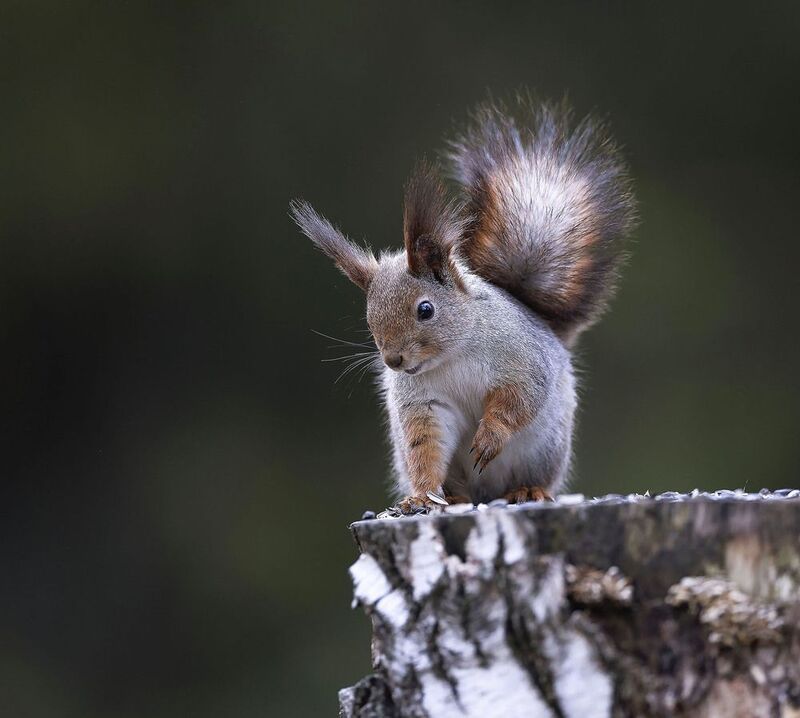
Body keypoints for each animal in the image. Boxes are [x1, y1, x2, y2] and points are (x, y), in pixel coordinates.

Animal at [290, 96, 636, 512]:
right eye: (369, 319)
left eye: (425, 309)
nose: (393, 361)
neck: (452, 356)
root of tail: (487, 493)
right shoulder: (424, 402)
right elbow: (425, 446)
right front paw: (421, 495)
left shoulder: (521, 359)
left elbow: (517, 399)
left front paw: (490, 436)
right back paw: (452, 497)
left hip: (545, 448)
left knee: (534, 474)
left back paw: (528, 490)